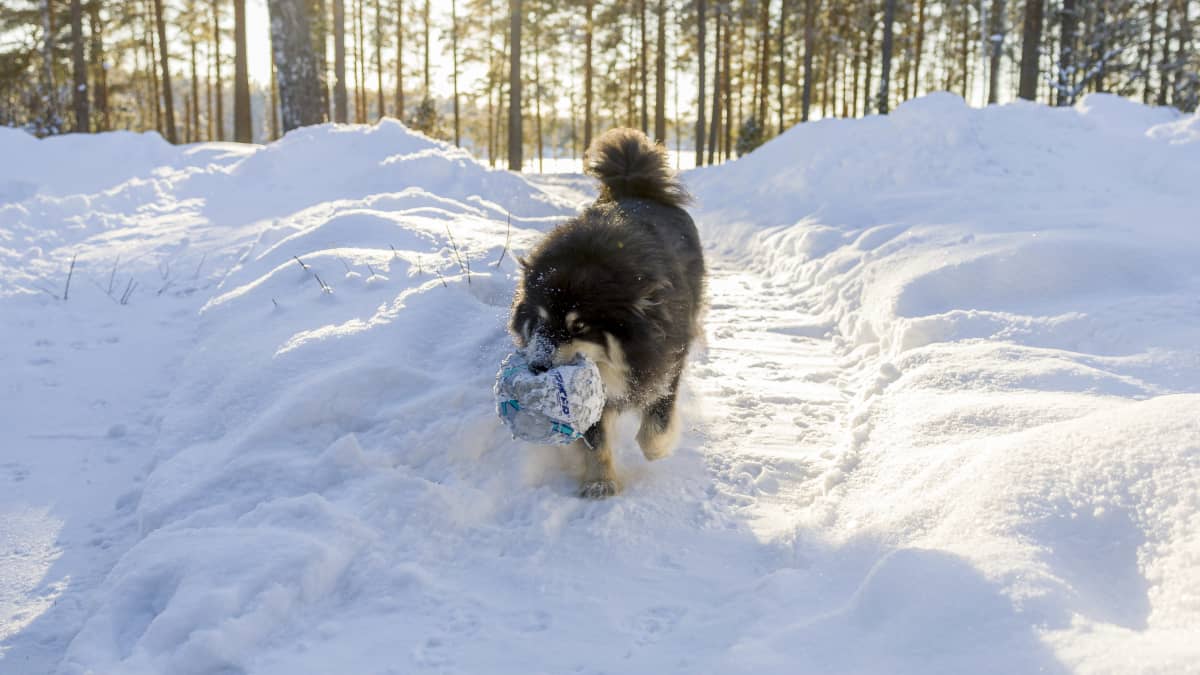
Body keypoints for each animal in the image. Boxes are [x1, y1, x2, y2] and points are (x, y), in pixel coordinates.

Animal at [506, 127, 700, 494]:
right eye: (538, 321)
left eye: (579, 327)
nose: (537, 366)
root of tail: (635, 186)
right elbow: (596, 439)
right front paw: (600, 482)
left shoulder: (667, 356)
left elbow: (658, 415)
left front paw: (657, 449)